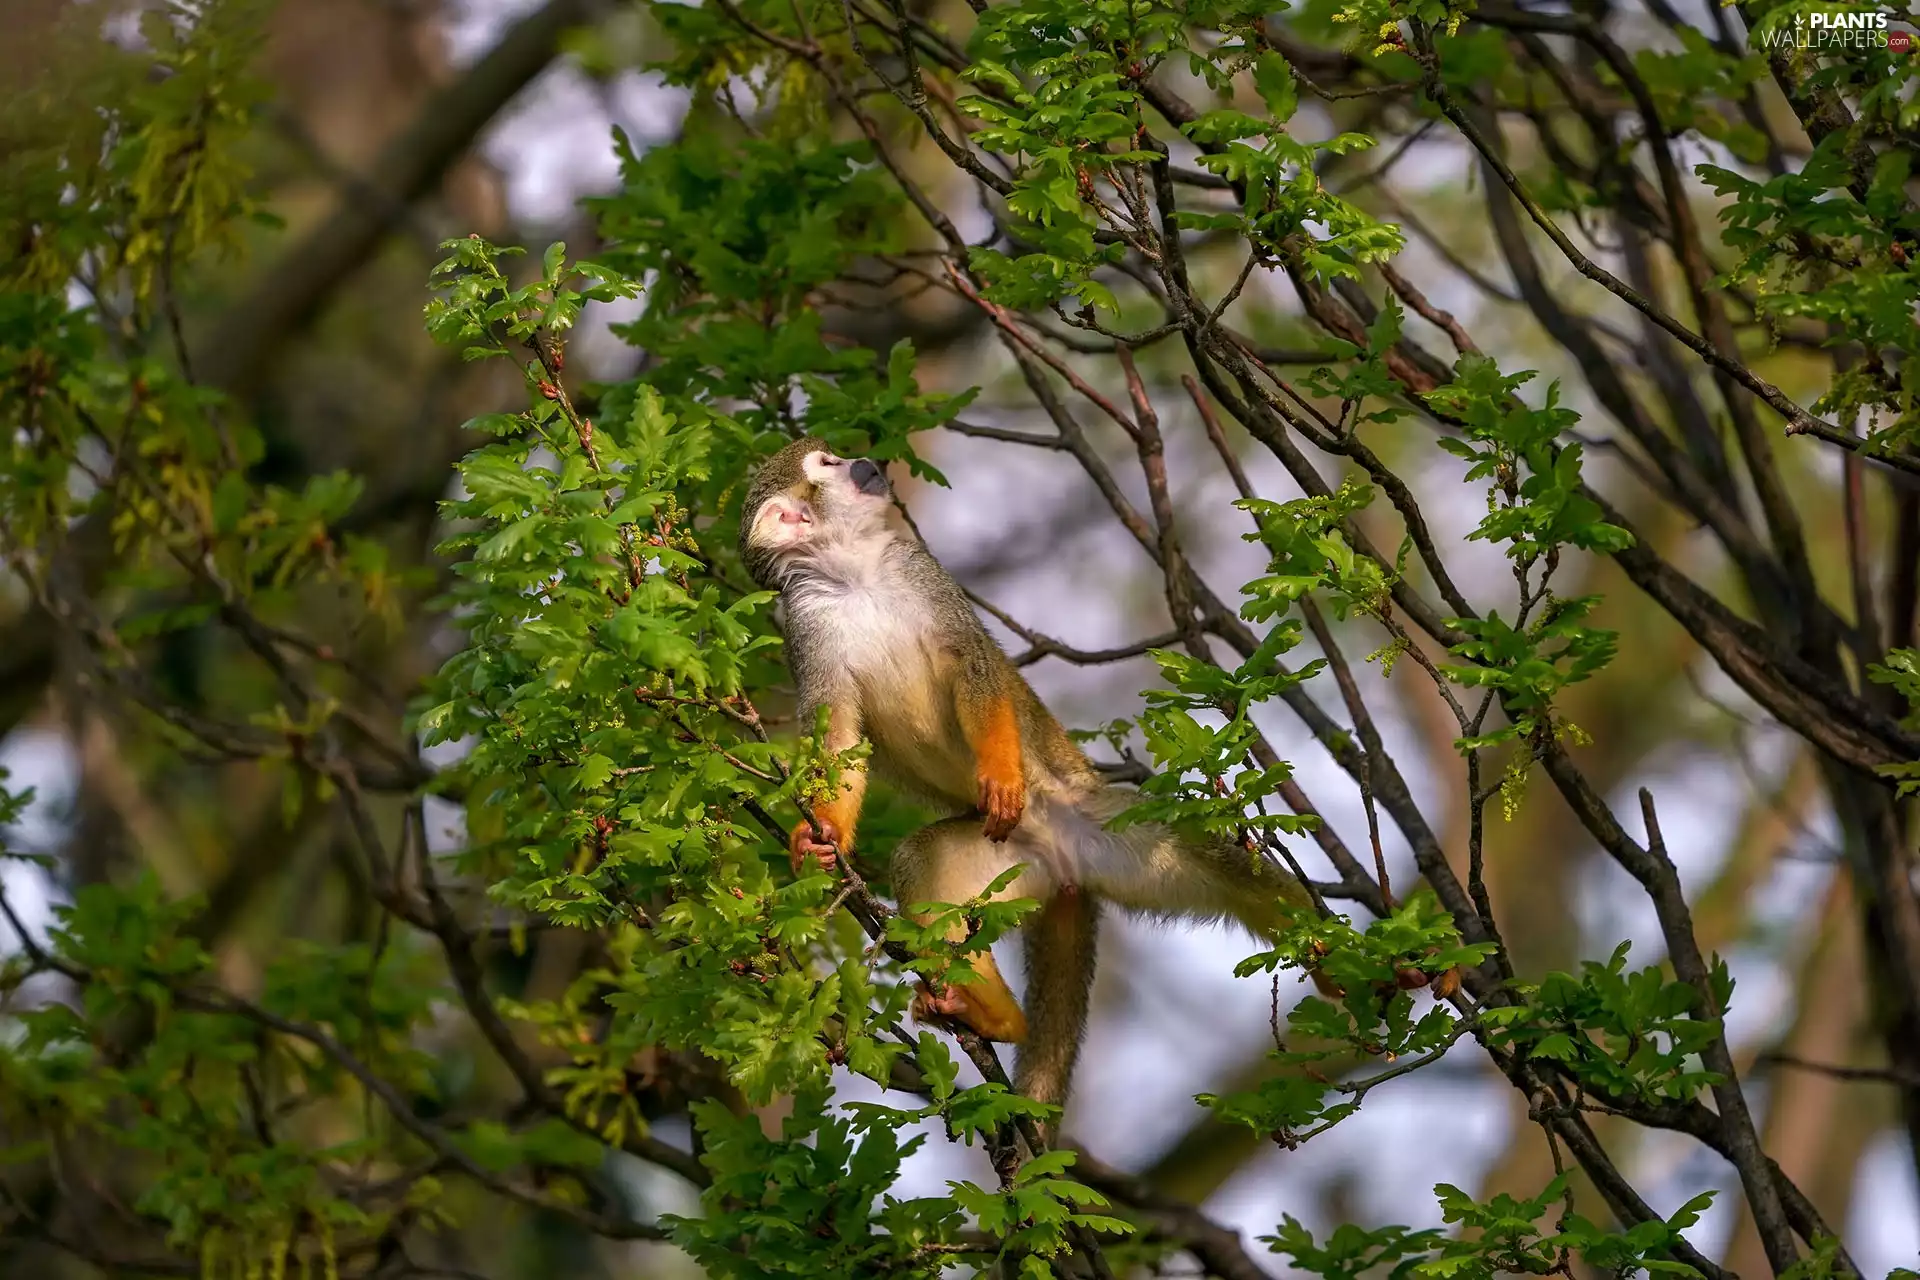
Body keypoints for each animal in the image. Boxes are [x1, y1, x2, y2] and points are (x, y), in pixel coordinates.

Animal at [738, 436, 1326, 1119]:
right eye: (829, 465)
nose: (865, 463)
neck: (852, 575)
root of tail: (1067, 865)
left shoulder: (919, 570)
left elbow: (974, 668)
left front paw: (998, 773)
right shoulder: (805, 628)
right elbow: (839, 741)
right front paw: (820, 836)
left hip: (1109, 824)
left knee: (1221, 866)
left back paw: (1328, 946)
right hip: (1011, 864)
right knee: (921, 865)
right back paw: (996, 1018)